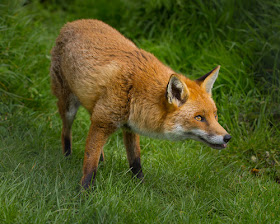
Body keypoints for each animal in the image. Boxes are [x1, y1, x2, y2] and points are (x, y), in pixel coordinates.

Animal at [50, 19, 232, 189]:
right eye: (199, 117)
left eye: (215, 115)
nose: (228, 137)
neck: (136, 92)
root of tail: (72, 23)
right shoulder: (103, 122)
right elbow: (89, 163)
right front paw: (85, 192)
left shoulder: (129, 126)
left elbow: (135, 160)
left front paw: (140, 186)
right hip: (69, 108)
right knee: (66, 131)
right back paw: (67, 157)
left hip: (94, 109)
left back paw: (101, 160)